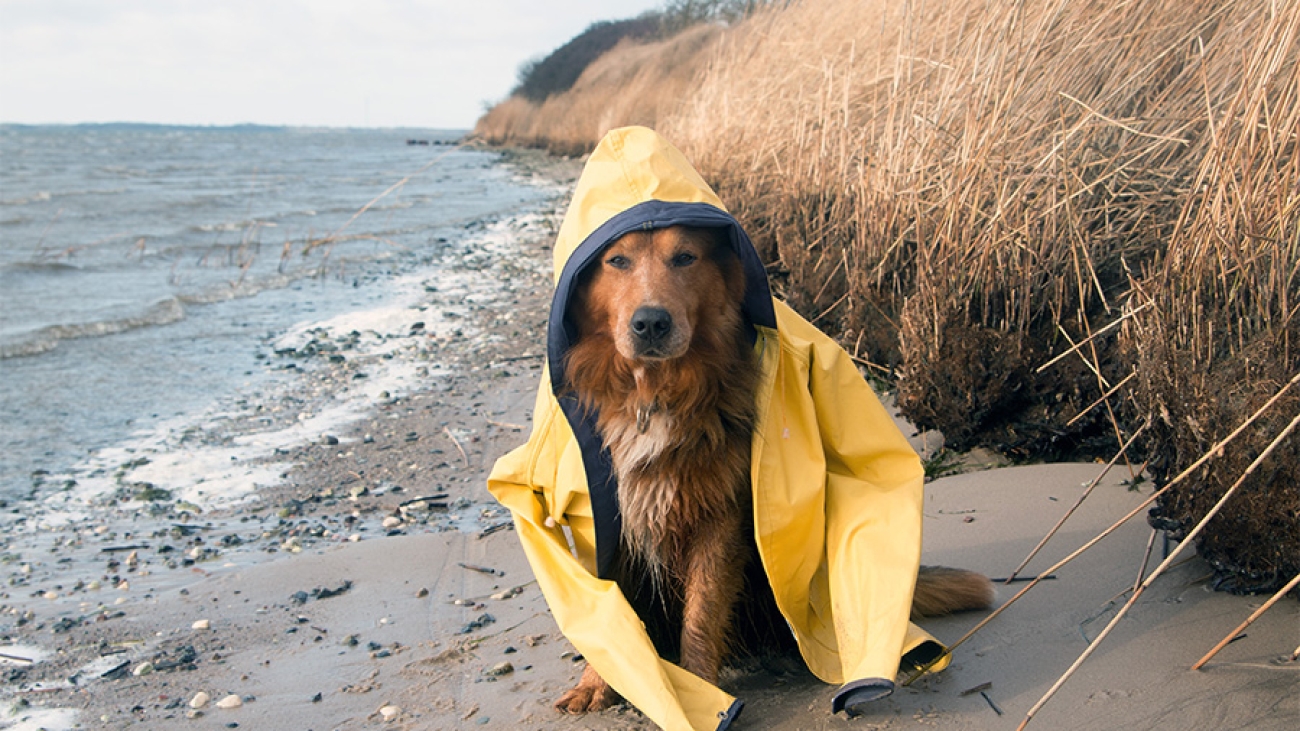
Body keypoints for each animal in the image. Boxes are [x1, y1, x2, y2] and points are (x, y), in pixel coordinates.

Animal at [553, 223, 987, 712]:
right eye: (617, 261)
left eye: (685, 257)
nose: (650, 323)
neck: (655, 395)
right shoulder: (608, 523)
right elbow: (610, 606)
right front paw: (596, 683)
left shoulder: (720, 516)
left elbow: (701, 614)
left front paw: (700, 688)